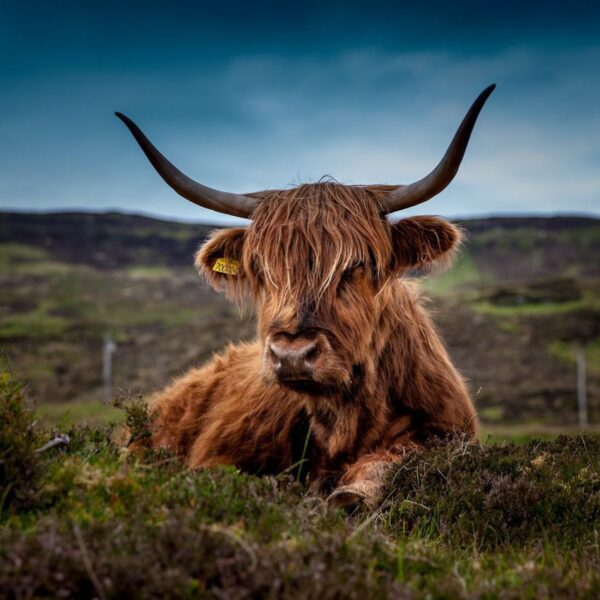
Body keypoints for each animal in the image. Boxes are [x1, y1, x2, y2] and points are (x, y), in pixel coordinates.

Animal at [117, 84, 496, 506]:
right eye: (262, 269)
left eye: (359, 265)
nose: (292, 355)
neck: (344, 422)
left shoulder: (446, 433)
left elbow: (394, 459)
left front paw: (352, 494)